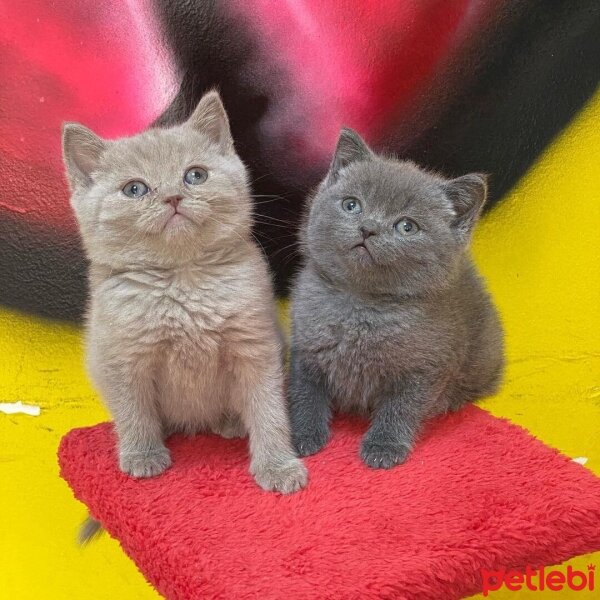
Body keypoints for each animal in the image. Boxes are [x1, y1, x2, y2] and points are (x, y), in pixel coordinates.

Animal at [61, 89, 308, 492]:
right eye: (134, 189)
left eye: (196, 175)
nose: (174, 197)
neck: (183, 278)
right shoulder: (123, 356)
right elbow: (134, 410)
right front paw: (143, 454)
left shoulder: (255, 347)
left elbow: (268, 409)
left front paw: (278, 465)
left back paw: (230, 422)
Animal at [288, 129, 504, 472]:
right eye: (352, 205)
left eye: (406, 226)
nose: (368, 228)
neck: (360, 303)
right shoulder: (305, 346)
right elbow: (304, 391)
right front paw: (302, 434)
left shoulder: (425, 369)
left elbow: (402, 407)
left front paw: (384, 446)